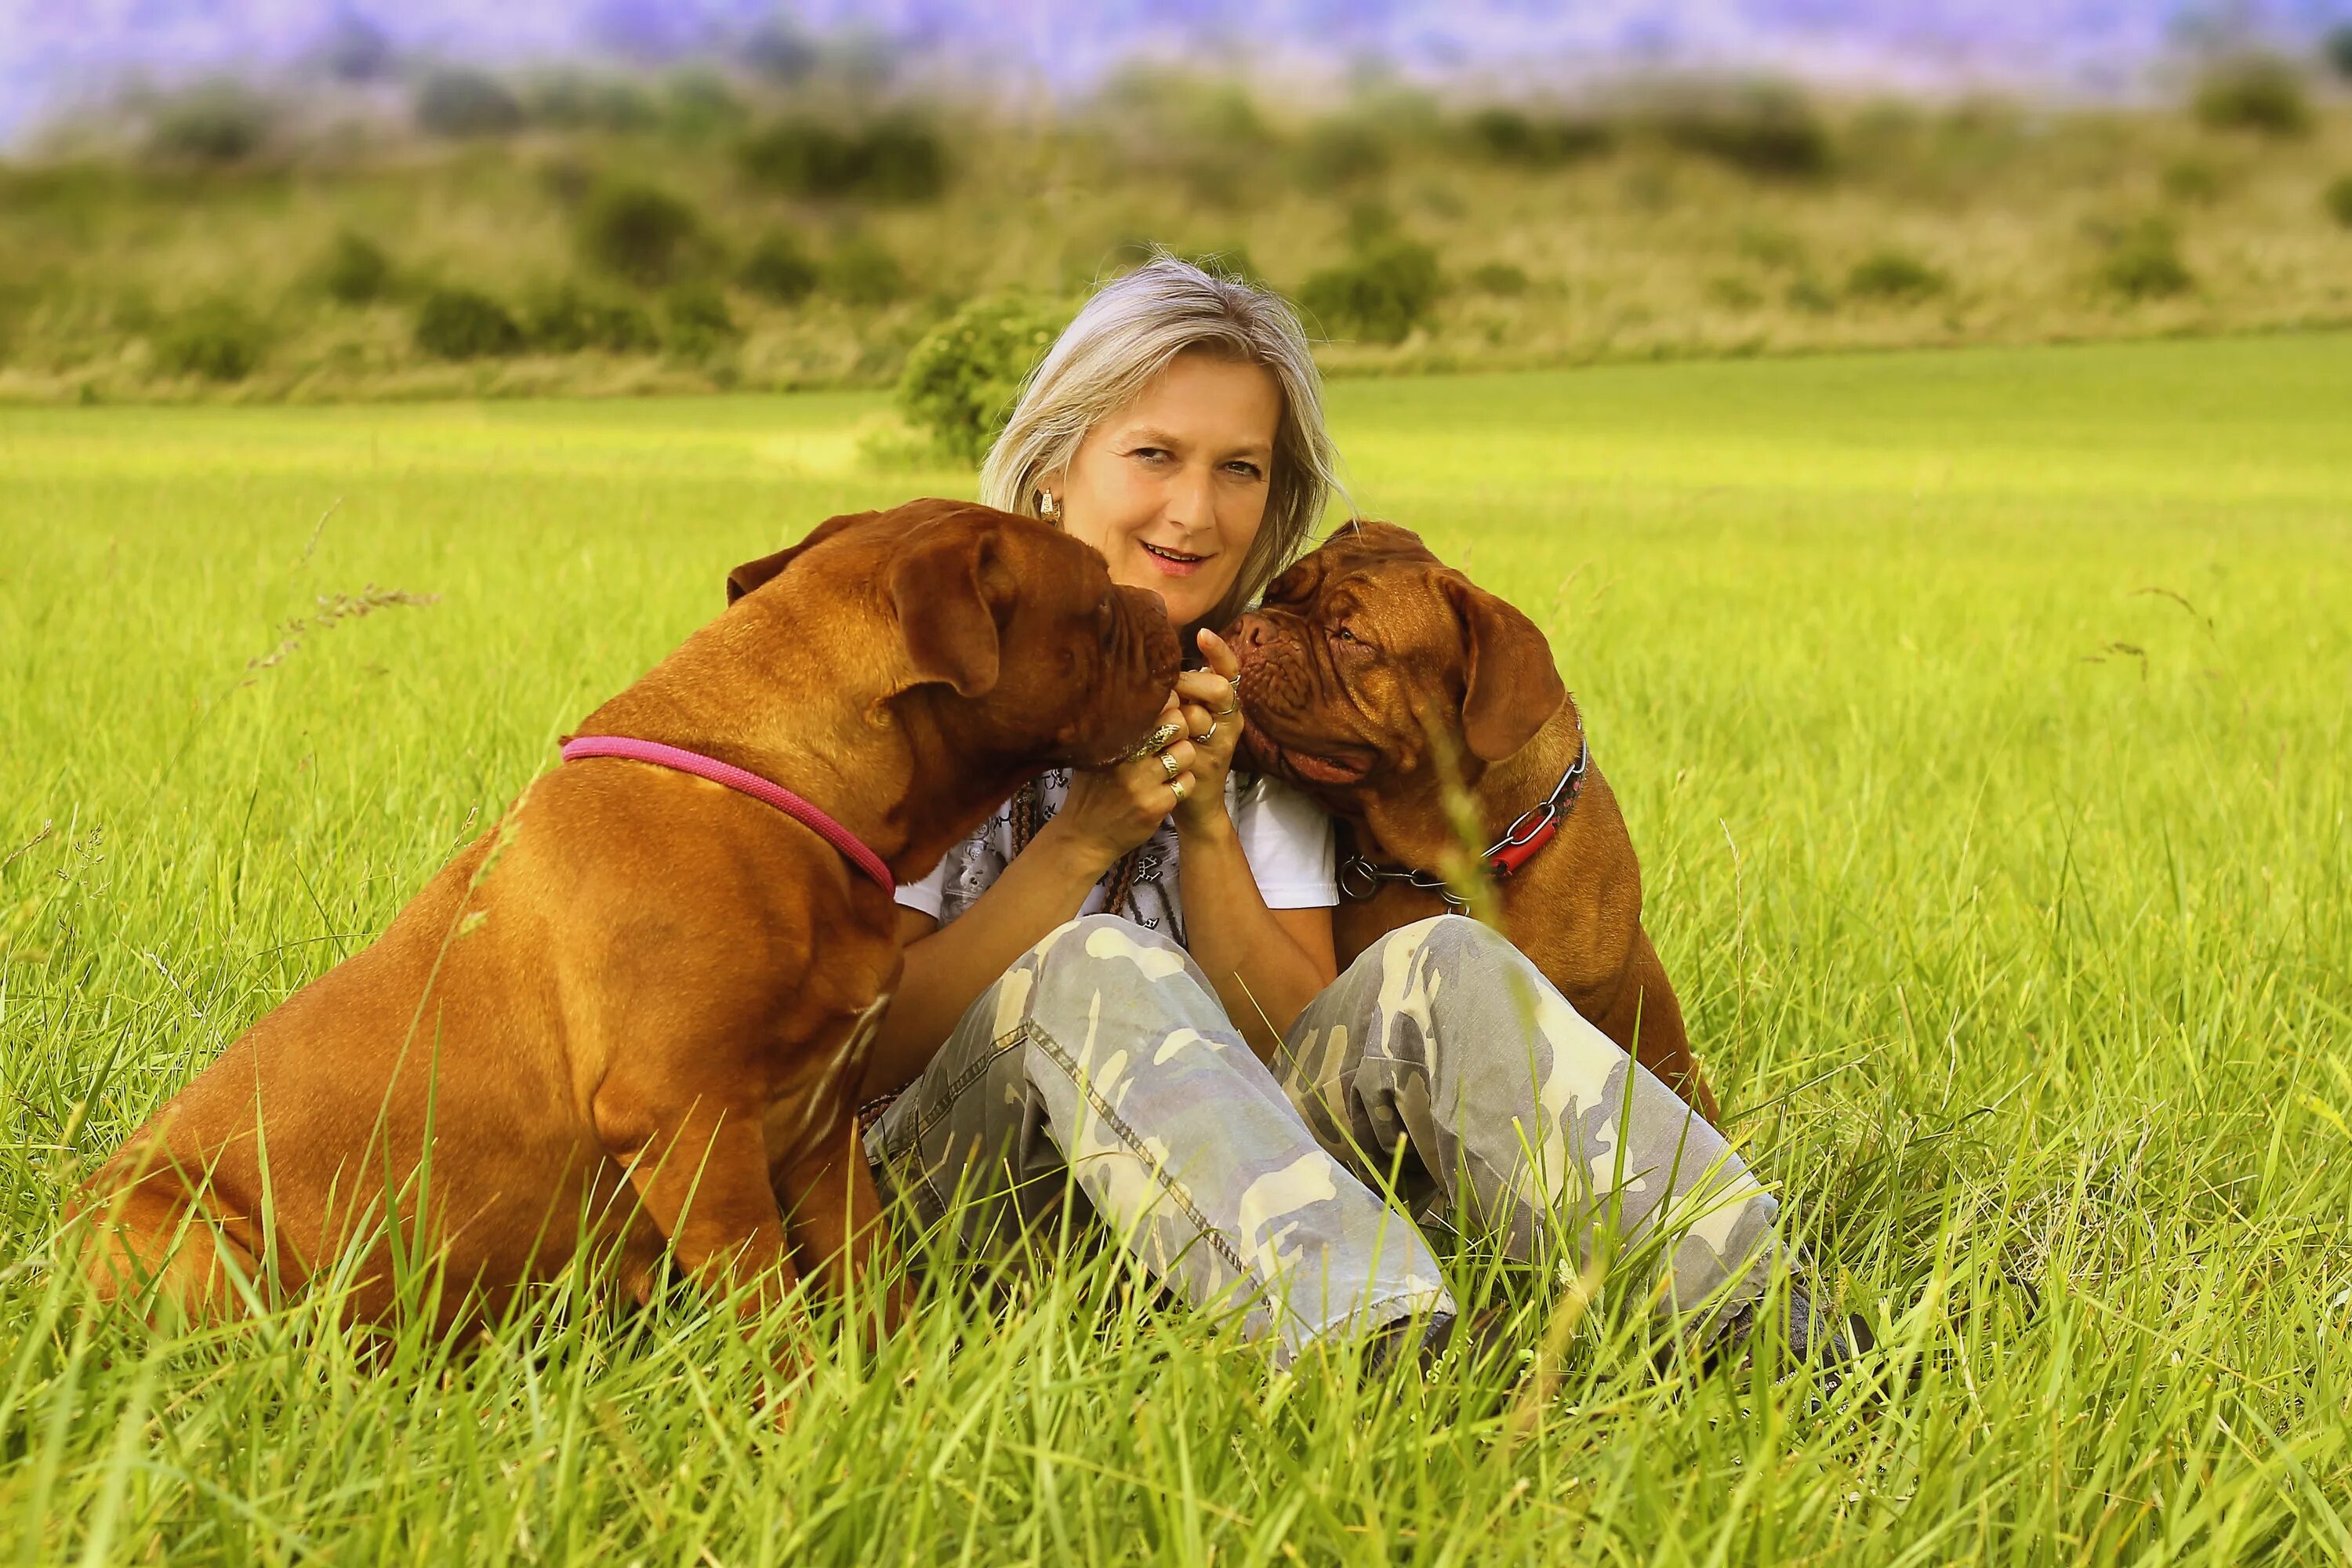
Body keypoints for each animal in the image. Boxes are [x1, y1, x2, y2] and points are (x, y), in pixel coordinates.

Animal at [73, 500, 1176, 1335]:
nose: (1166, 606)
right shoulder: (691, 1127)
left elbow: (874, 1285)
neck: (783, 787)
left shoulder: (819, 1136)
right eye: (1097, 599)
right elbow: (777, 1321)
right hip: (180, 1231)